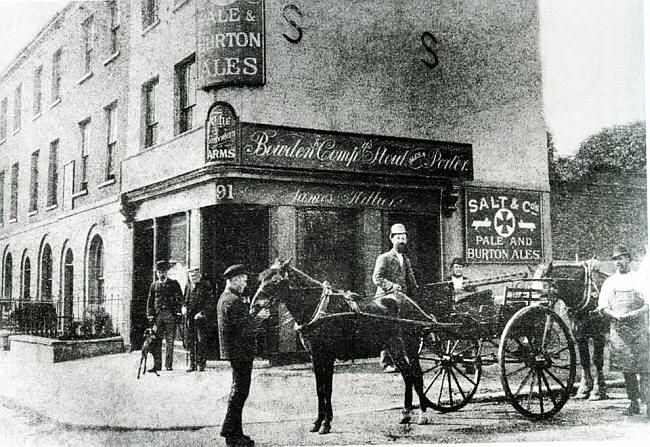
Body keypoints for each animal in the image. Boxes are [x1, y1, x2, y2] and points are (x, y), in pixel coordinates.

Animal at [249, 260, 436, 434]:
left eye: (275, 281)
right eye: (261, 279)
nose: (253, 307)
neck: (317, 308)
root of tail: (412, 304)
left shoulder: (328, 355)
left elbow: (327, 389)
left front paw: (326, 424)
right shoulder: (315, 356)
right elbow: (320, 389)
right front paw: (317, 422)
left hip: (410, 346)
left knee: (417, 376)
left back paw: (422, 415)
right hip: (394, 347)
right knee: (407, 375)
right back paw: (406, 414)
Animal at [532, 260, 608, 400]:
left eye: (543, 292)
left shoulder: (599, 334)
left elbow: (597, 360)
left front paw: (598, 391)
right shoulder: (579, 334)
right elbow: (584, 360)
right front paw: (584, 389)